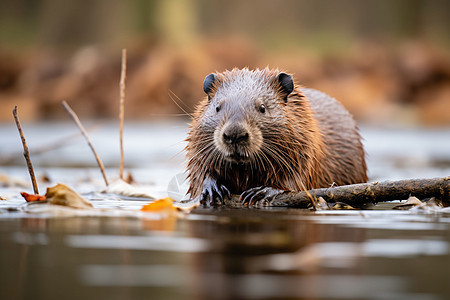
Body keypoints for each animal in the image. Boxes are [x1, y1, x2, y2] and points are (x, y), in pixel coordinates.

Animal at [185, 68, 368, 206]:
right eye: (217, 107)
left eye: (262, 108)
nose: (235, 134)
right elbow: (198, 170)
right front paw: (212, 188)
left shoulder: (306, 143)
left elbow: (297, 179)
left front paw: (261, 192)